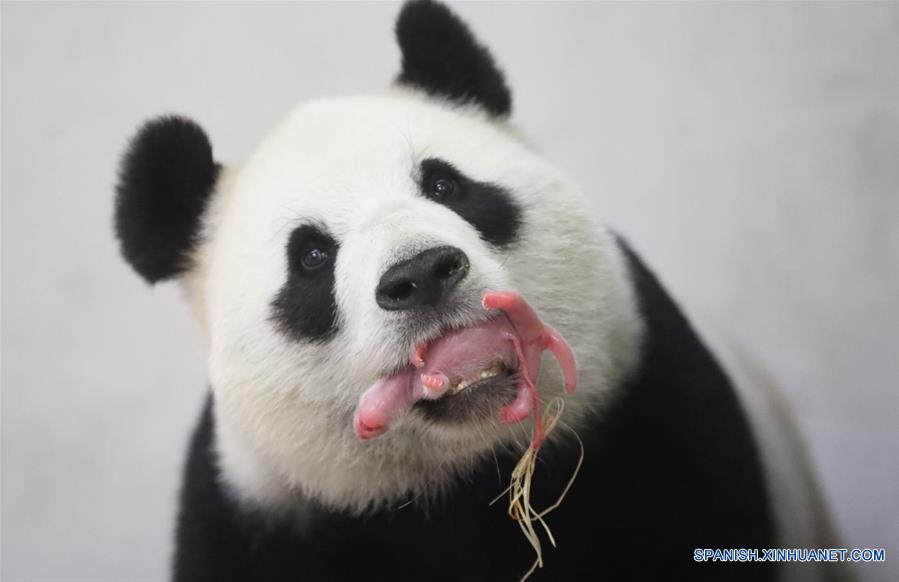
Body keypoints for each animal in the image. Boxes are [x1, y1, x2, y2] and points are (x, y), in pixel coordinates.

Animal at [114, 1, 844, 582]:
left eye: (445, 185)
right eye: (312, 257)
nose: (421, 275)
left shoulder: (653, 412)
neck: (463, 479)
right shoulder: (260, 513)